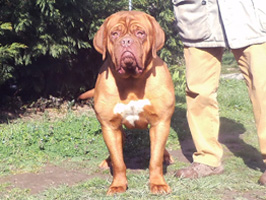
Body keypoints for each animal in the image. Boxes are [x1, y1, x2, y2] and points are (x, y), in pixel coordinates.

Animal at [78, 10, 175, 195]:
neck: (131, 80)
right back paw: (107, 161)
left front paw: (158, 183)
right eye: (114, 34)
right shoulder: (110, 127)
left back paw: (167, 156)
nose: (126, 41)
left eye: (141, 33)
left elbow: (155, 159)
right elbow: (119, 162)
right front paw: (117, 185)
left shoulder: (160, 122)